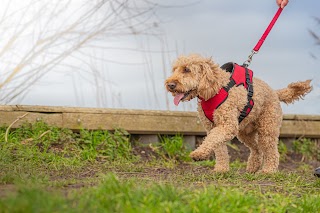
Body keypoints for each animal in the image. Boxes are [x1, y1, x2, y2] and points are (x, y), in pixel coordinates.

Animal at [166, 54, 312, 174]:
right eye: (175, 69)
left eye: (187, 70)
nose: (170, 85)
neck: (215, 89)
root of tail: (275, 92)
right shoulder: (213, 127)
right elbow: (219, 148)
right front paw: (221, 169)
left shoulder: (227, 125)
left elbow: (212, 140)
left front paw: (199, 153)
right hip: (245, 132)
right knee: (257, 148)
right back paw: (253, 167)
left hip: (267, 128)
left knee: (271, 151)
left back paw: (268, 170)